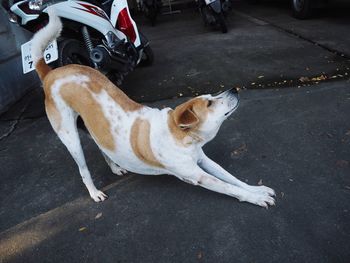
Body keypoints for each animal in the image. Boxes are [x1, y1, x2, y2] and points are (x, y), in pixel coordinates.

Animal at [30, 9, 276, 208]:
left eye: (211, 96)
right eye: (209, 103)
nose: (234, 89)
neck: (179, 134)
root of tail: (50, 72)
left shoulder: (203, 160)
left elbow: (232, 178)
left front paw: (257, 189)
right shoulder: (197, 175)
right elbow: (229, 187)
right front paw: (255, 198)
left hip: (91, 128)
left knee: (103, 149)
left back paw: (115, 167)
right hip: (71, 139)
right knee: (83, 170)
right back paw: (94, 193)